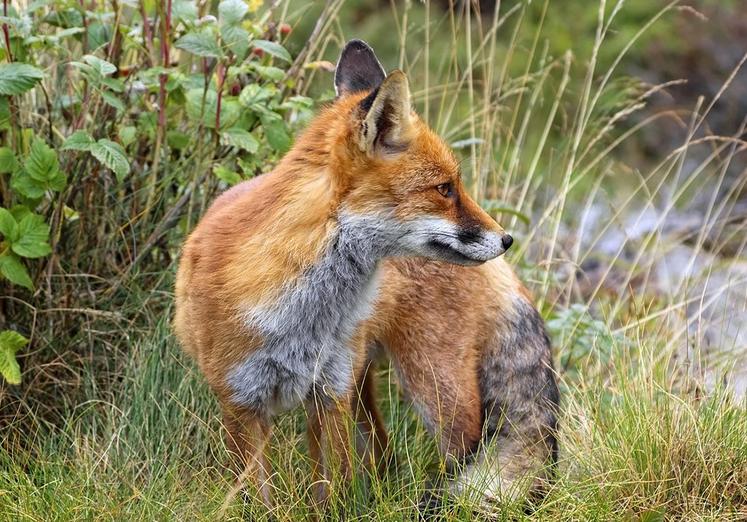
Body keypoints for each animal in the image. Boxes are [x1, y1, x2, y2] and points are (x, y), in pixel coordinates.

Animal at [175, 39, 560, 508]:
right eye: (444, 188)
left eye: (455, 185)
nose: (506, 239)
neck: (302, 313)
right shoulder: (241, 403)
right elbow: (257, 500)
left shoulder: (329, 394)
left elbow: (329, 497)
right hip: (368, 387)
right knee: (383, 452)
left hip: (433, 389)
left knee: (452, 451)